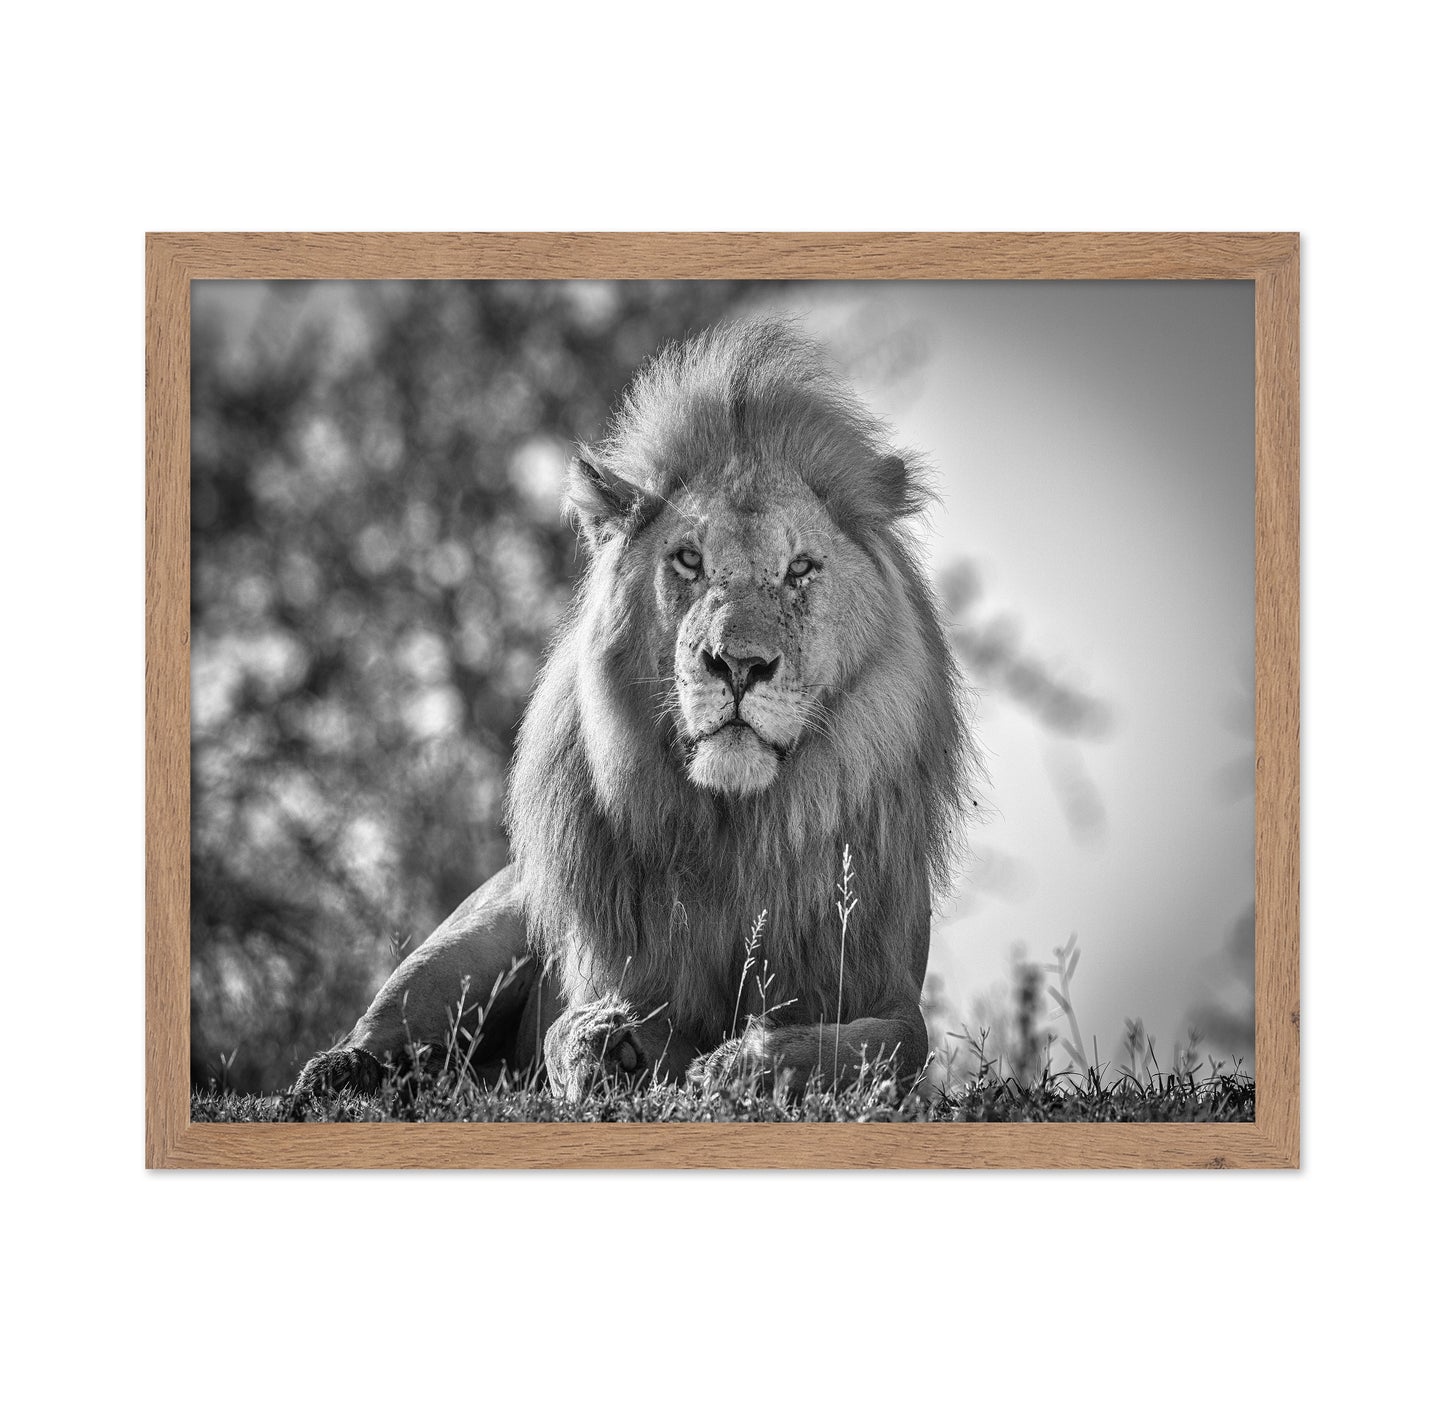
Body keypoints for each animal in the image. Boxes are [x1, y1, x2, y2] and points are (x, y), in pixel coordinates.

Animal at [293, 318, 973, 1102]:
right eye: (688, 561)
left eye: (800, 568)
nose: (739, 664)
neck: (739, 829)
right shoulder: (609, 972)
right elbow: (568, 1028)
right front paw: (611, 1045)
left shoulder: (885, 986)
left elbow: (886, 1045)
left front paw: (745, 1062)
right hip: (478, 932)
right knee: (391, 1028)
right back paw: (339, 1073)